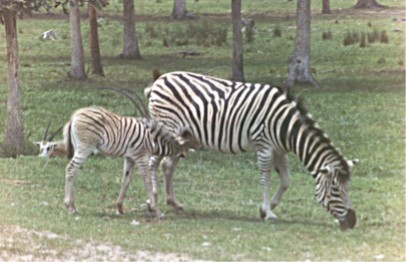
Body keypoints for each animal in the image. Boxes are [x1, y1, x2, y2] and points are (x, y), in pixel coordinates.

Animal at [144, 70, 356, 228]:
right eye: (336, 191)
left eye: (348, 188)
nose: (353, 221)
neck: (287, 127)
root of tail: (159, 80)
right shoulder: (265, 148)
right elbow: (265, 179)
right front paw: (268, 213)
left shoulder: (280, 151)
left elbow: (286, 181)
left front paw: (267, 208)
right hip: (167, 129)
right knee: (153, 163)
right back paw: (153, 204)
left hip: (182, 137)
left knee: (168, 165)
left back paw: (174, 203)